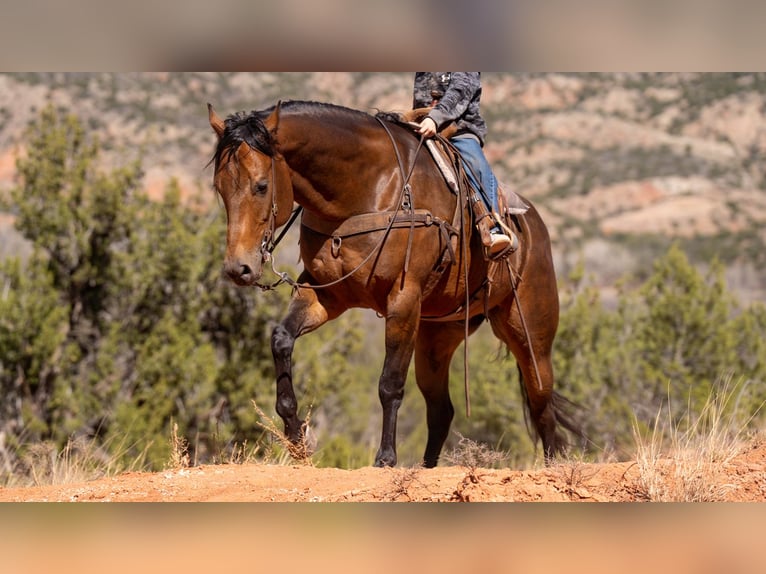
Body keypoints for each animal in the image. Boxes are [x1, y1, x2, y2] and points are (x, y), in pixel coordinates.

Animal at [207, 100, 580, 468]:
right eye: (219, 188)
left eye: (261, 186)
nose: (239, 268)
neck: (368, 189)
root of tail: (532, 224)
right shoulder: (325, 294)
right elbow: (281, 340)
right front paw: (297, 437)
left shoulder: (403, 300)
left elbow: (390, 383)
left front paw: (385, 457)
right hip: (436, 339)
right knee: (442, 411)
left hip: (529, 334)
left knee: (541, 405)